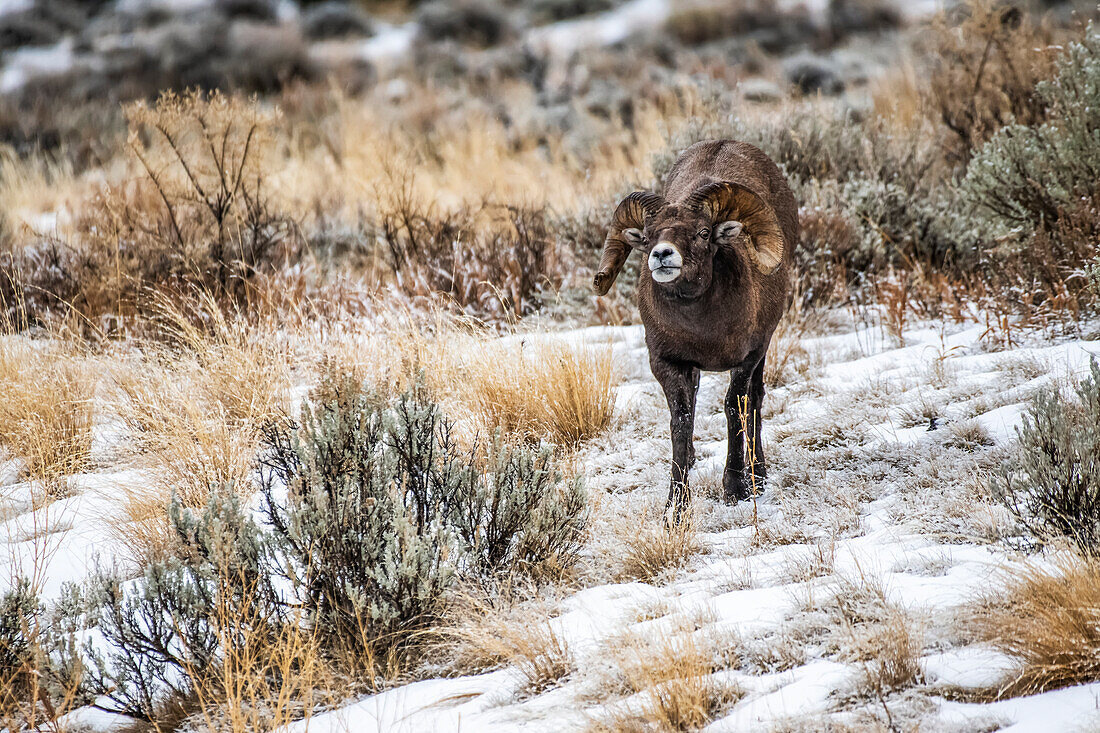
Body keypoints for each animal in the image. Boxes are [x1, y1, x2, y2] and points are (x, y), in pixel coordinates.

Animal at [594, 140, 792, 508]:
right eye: (648, 237)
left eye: (702, 233)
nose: (662, 255)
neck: (702, 330)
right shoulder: (668, 363)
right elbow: (682, 420)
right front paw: (676, 505)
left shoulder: (746, 359)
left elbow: (735, 409)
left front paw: (736, 489)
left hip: (763, 352)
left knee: (756, 401)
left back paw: (758, 476)